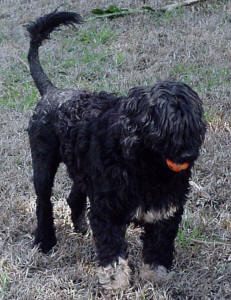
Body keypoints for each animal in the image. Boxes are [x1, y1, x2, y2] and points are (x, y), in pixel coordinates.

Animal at [26, 10, 207, 290]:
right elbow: (112, 252)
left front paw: (155, 276)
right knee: (43, 203)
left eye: (195, 127)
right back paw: (45, 241)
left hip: (82, 170)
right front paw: (116, 283)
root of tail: (52, 92)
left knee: (73, 196)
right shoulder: (108, 211)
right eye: (164, 129)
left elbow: (158, 248)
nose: (188, 155)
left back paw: (80, 226)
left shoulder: (165, 211)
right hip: (43, 165)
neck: (148, 166)